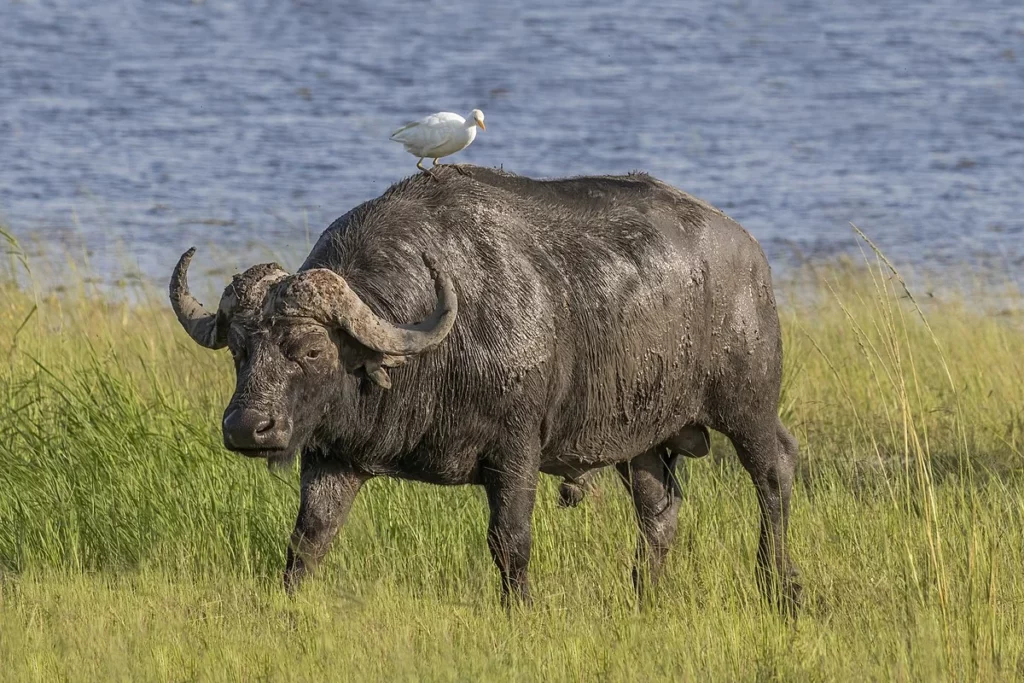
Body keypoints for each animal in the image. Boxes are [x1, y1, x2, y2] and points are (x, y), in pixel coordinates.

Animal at [167, 165, 802, 610]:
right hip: (640, 440)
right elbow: (309, 539)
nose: (248, 428)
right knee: (659, 512)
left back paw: (780, 586)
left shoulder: (516, 452)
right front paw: (288, 604)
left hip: (748, 406)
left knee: (774, 476)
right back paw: (643, 594)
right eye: (240, 350)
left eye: (312, 350)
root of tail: (749, 252)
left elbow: (509, 539)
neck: (434, 353)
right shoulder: (333, 457)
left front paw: (519, 607)